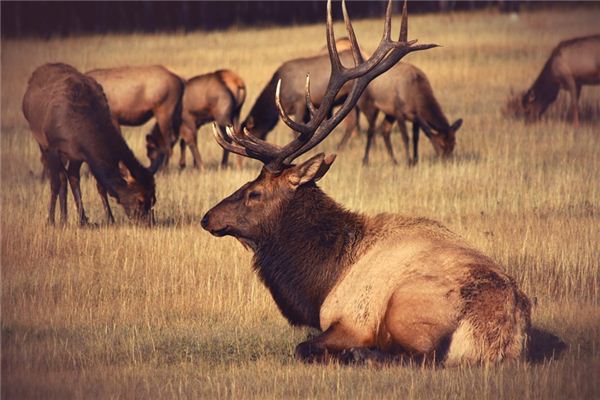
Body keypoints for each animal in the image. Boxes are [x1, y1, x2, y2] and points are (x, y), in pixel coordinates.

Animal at [23, 62, 156, 225]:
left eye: (153, 199)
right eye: (139, 199)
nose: (149, 223)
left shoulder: (81, 154)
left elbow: (98, 185)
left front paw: (108, 219)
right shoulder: (52, 147)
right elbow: (55, 183)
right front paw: (50, 221)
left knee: (70, 177)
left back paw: (73, 219)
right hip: (41, 142)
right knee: (60, 177)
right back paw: (62, 219)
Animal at [203, 0, 528, 368]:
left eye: (254, 192)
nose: (207, 217)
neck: (320, 281)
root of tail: (502, 337)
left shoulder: (350, 319)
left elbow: (304, 346)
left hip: (407, 304)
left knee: (416, 357)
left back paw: (358, 355)